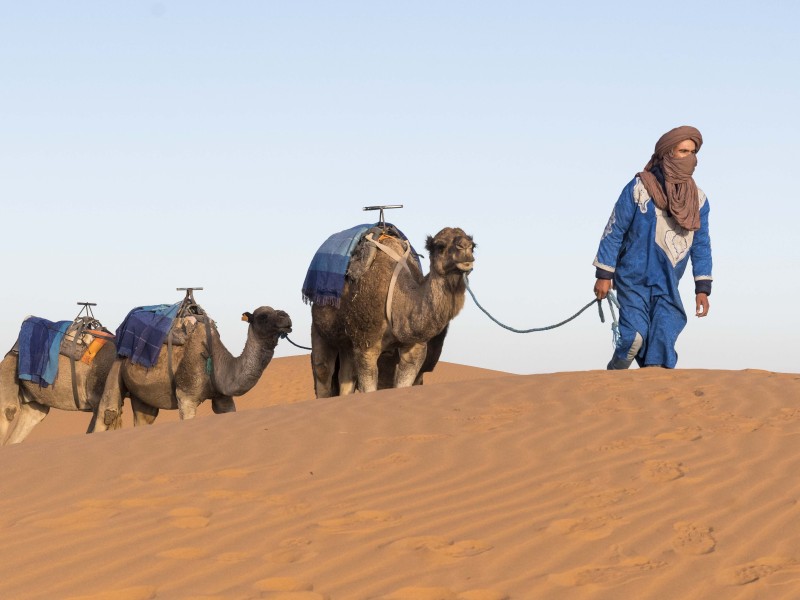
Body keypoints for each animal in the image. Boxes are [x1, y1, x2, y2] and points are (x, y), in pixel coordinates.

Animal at [94, 308, 290, 428]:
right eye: (263, 316)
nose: (286, 317)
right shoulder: (186, 397)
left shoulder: (223, 397)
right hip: (116, 368)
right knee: (107, 411)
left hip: (142, 395)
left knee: (144, 417)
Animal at [310, 225, 476, 394]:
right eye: (440, 246)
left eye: (473, 246)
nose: (465, 247)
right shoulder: (366, 346)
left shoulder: (413, 348)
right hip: (319, 328)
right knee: (323, 370)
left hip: (348, 343)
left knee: (347, 375)